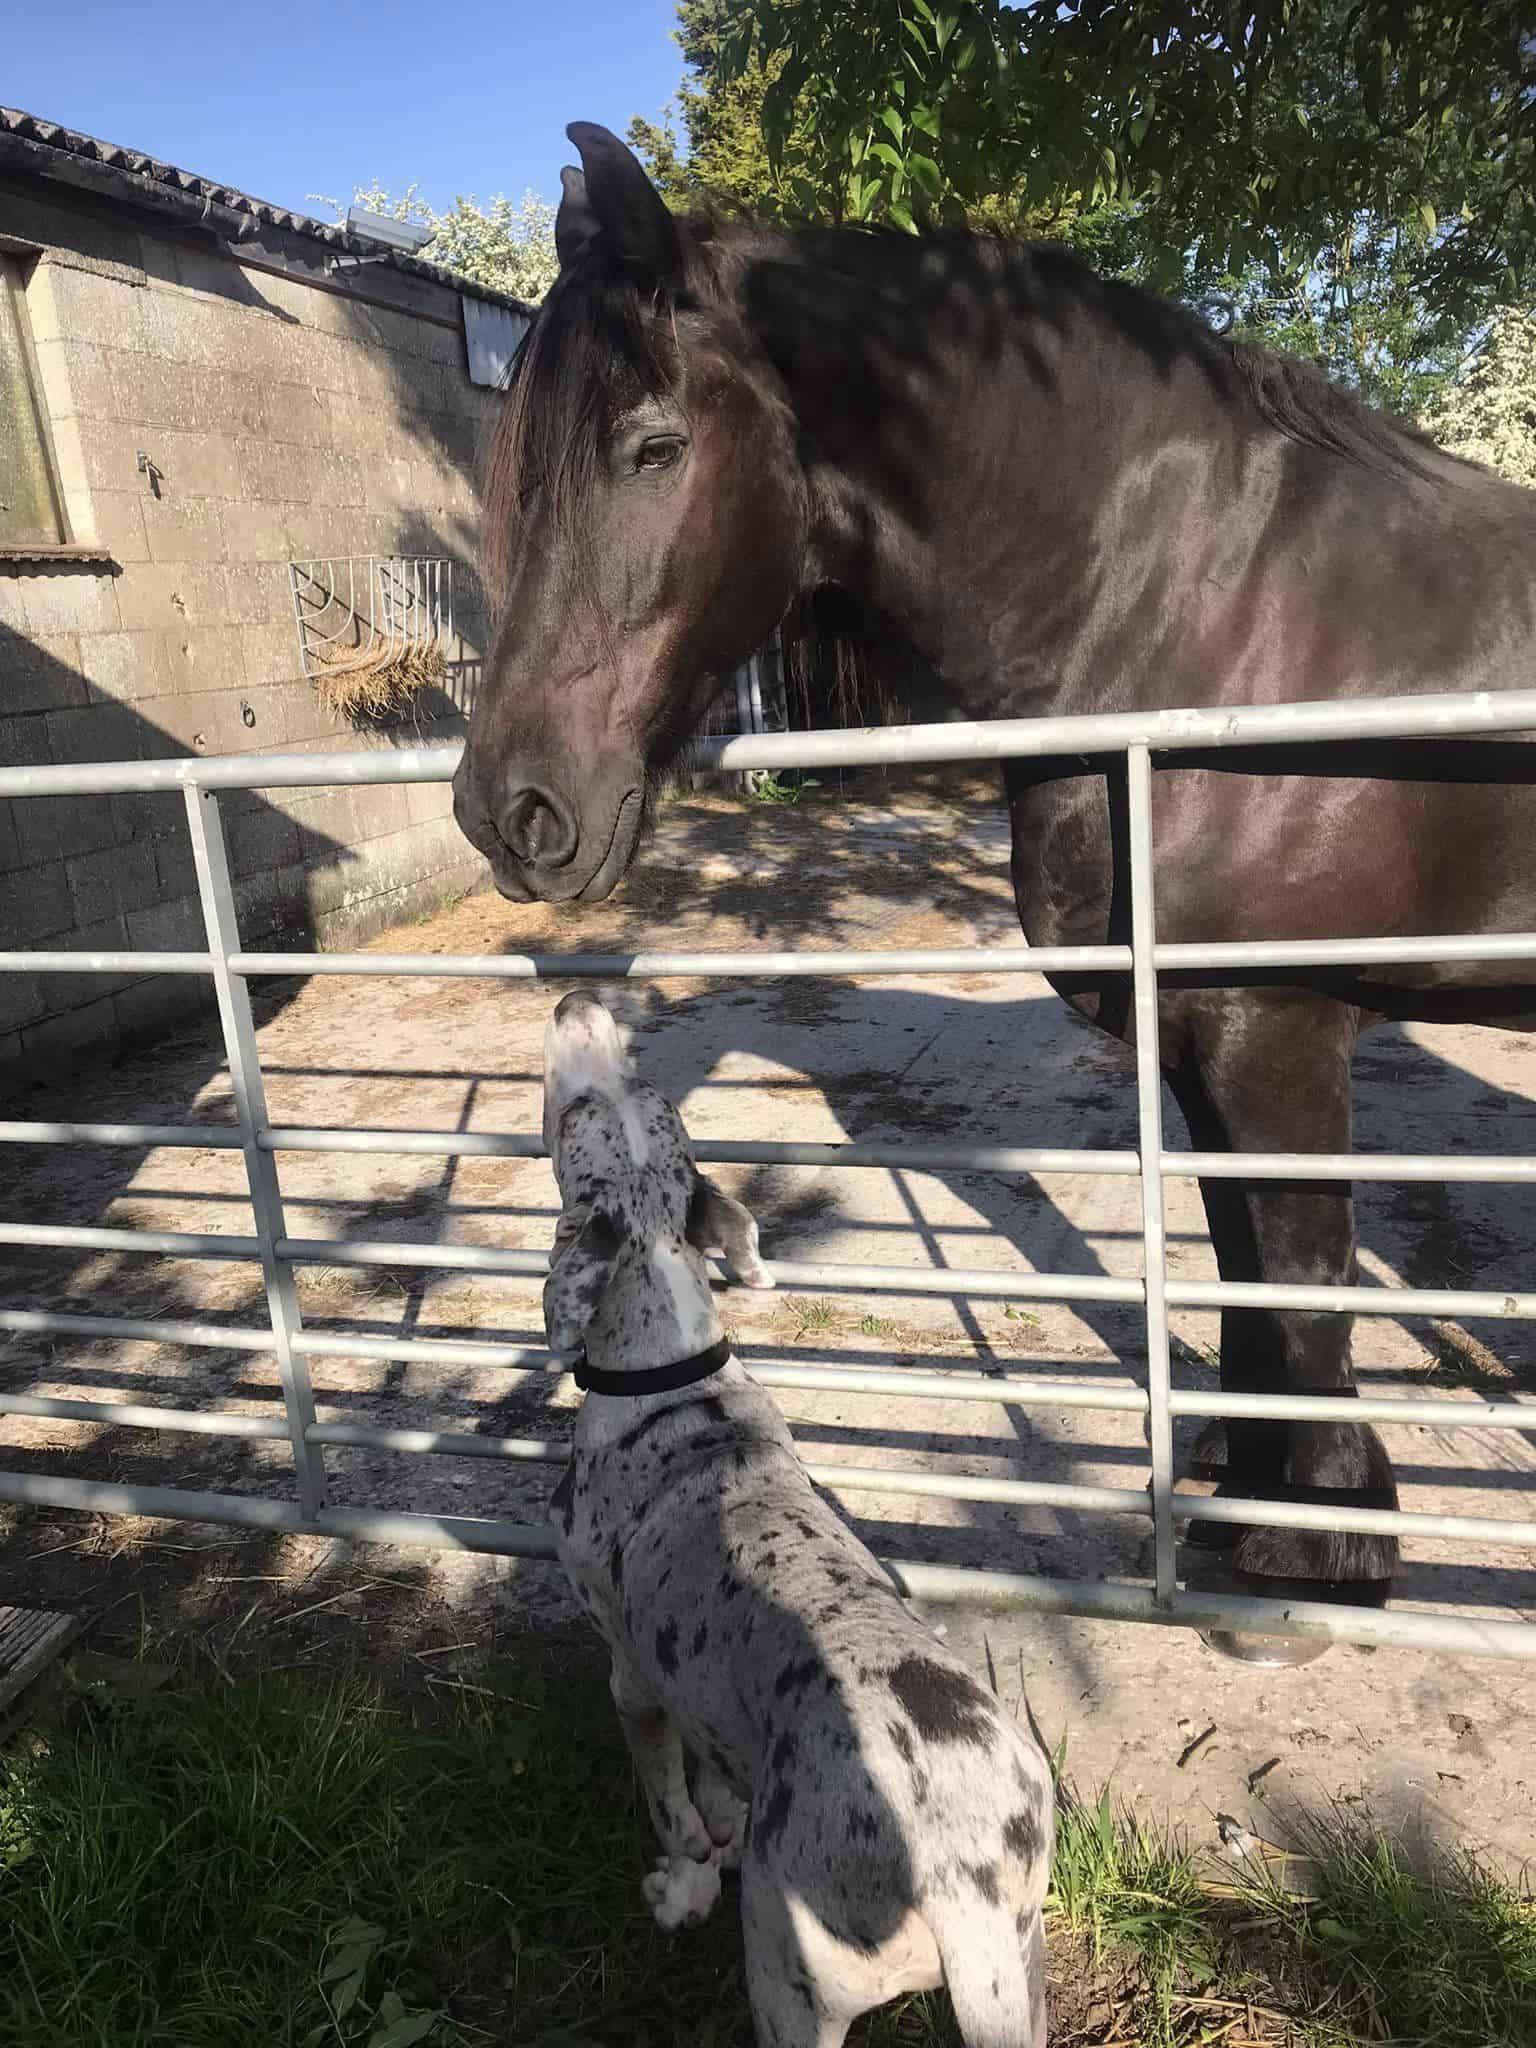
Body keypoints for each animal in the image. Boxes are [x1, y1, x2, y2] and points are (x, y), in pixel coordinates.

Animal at [456, 119, 1536, 1622]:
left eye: (651, 447)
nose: (511, 808)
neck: (1216, 617)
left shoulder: (1279, 1028)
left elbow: (1304, 1280)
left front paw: (1319, 1554)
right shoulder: (1198, 1034)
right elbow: (1244, 1267)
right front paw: (1240, 1502)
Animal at [540, 987, 1056, 2031]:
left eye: (577, 1114)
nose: (581, 1000)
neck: (668, 1375)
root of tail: (964, 1889)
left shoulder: (631, 1676)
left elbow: (673, 1811)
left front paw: (682, 1888)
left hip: (790, 1974)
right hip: (1027, 1972)